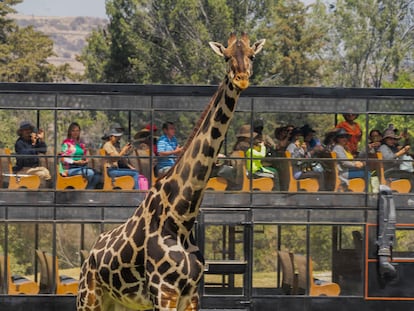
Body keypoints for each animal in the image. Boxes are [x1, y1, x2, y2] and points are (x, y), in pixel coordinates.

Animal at [77, 33, 266, 310]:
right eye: (227, 56)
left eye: (251, 55)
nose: (241, 78)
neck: (181, 218)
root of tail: (89, 254)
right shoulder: (163, 291)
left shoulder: (191, 295)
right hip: (89, 297)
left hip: (123, 303)